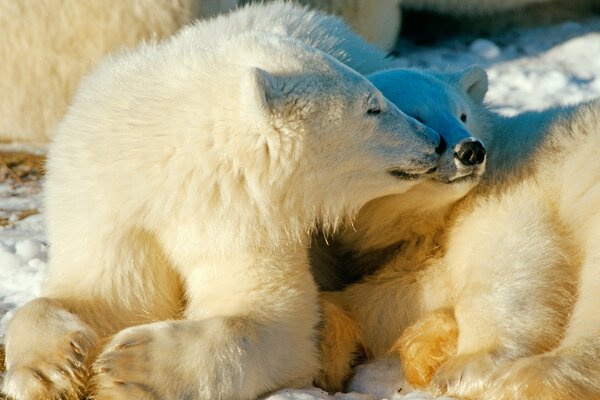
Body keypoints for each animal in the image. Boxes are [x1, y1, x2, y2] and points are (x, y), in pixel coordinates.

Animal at [0, 3, 440, 400]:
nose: (433, 140)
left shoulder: (243, 213)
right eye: (373, 107)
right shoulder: (113, 202)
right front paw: (46, 371)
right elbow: (106, 295)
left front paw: (128, 365)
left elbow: (268, 317)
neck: (168, 160)